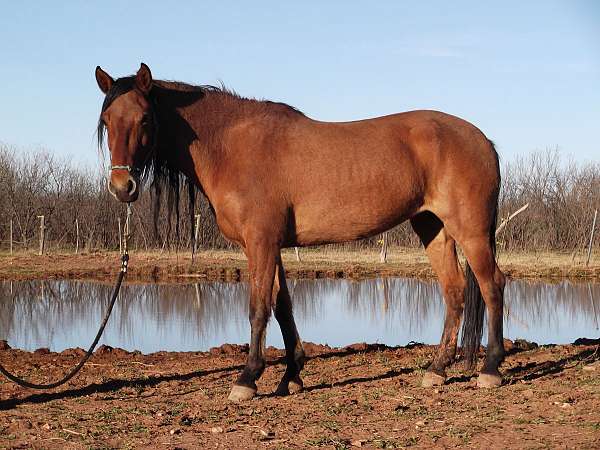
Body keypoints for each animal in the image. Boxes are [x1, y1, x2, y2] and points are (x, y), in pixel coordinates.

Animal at [95, 62, 506, 400]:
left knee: (492, 285)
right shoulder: (271, 245)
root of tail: (483, 139)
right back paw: (437, 370)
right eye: (107, 121)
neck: (231, 146)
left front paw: (247, 379)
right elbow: (282, 307)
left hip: (470, 231)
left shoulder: (260, 242)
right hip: (432, 227)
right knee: (454, 290)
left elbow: (258, 308)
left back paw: (490, 369)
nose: (122, 187)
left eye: (145, 119)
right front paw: (290, 376)